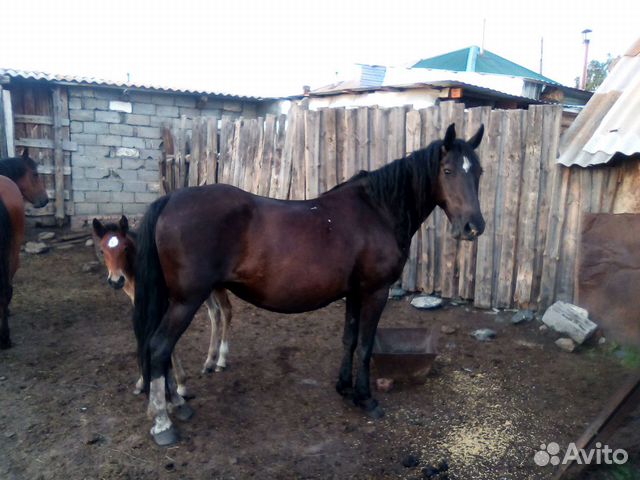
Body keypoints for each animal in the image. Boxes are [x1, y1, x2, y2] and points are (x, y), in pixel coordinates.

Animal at [92, 217, 235, 398]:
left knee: (226, 310)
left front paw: (180, 385)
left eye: (125, 248)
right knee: (214, 312)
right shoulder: (139, 303)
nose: (116, 280)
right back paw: (209, 362)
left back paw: (221, 361)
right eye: (102, 251)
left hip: (215, 287)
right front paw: (142, 382)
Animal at [135, 124, 484, 446]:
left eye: (478, 171)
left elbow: (349, 340)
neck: (377, 211)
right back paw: (163, 423)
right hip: (186, 300)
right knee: (159, 347)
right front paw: (366, 399)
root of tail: (170, 199)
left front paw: (344, 388)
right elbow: (366, 345)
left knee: (161, 348)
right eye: (448, 170)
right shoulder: (375, 292)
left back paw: (176, 404)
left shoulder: (354, 293)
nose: (473, 227)